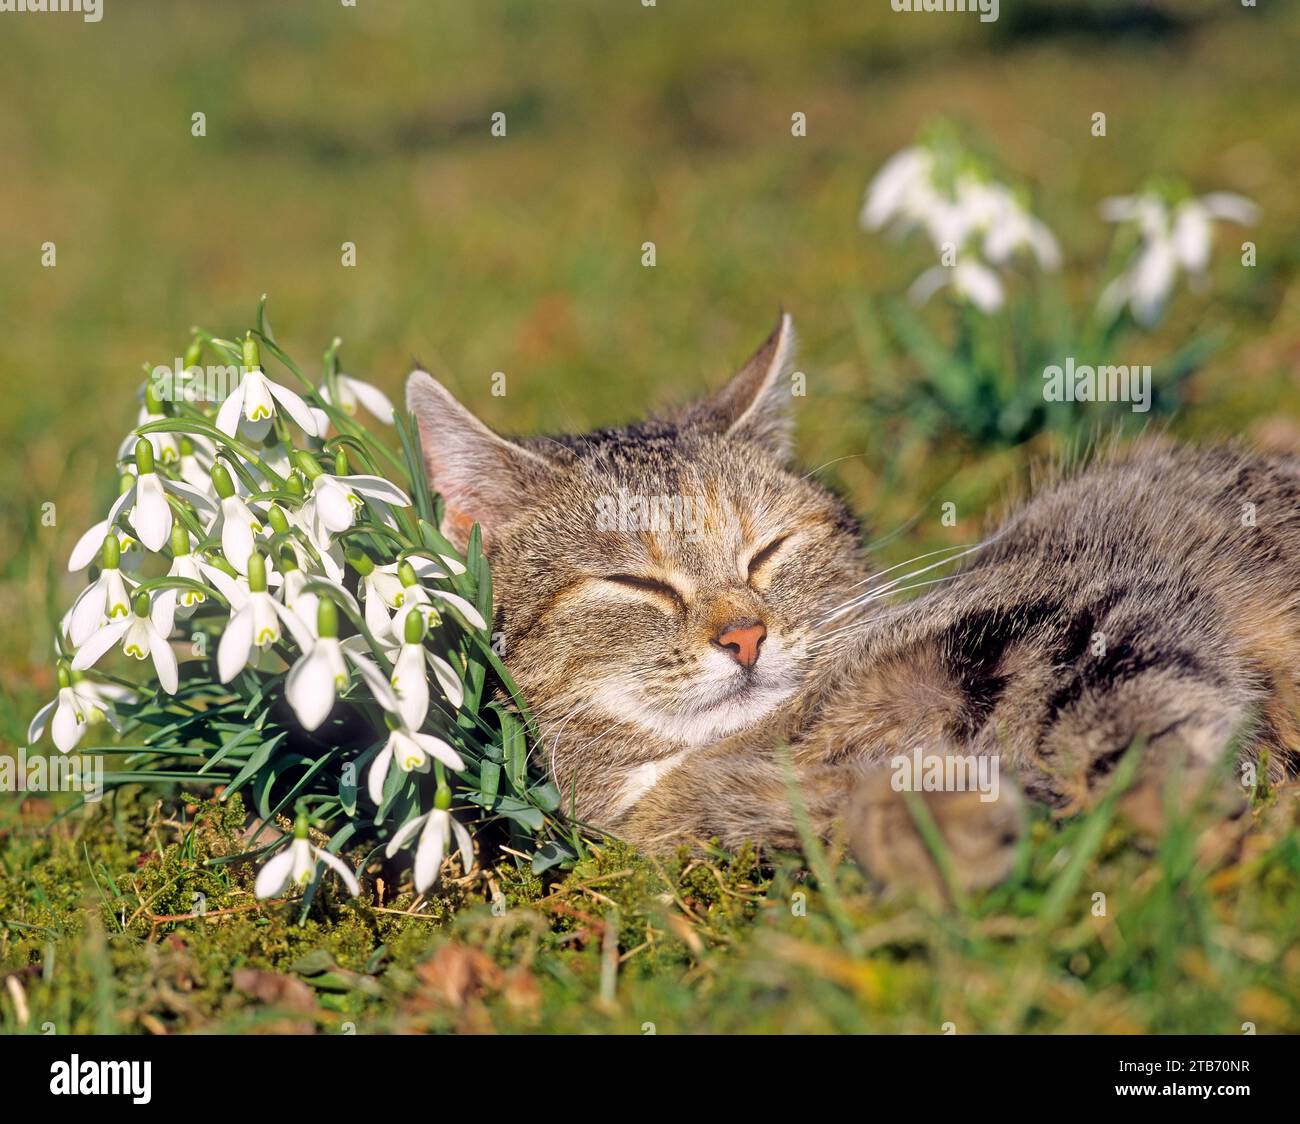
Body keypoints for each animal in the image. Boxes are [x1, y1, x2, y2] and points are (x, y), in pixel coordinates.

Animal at [405, 315, 1300, 894]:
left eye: (769, 550)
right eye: (637, 586)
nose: (745, 635)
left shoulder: (1095, 608)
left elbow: (1140, 728)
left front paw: (1186, 818)